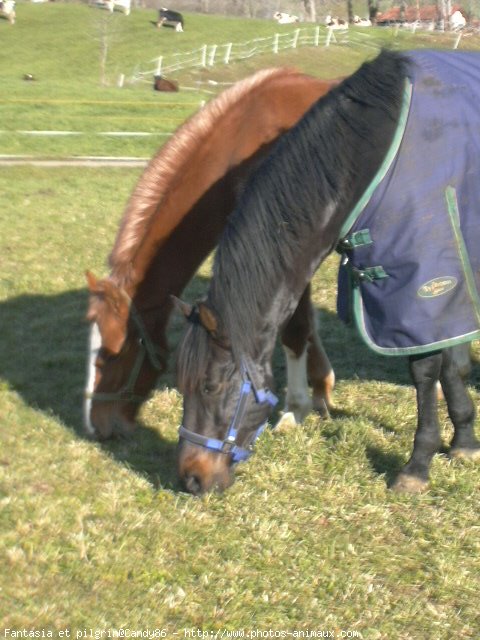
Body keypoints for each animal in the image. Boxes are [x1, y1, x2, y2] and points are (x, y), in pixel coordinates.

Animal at [83, 69, 338, 440]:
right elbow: (308, 325)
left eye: (113, 355)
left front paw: (295, 410)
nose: (97, 426)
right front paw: (321, 389)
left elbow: (295, 329)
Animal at [176, 51, 480, 500]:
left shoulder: (422, 280)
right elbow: (450, 363)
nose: (191, 478)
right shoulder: (444, 274)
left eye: (210, 387)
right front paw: (464, 441)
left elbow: (426, 371)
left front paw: (418, 464)